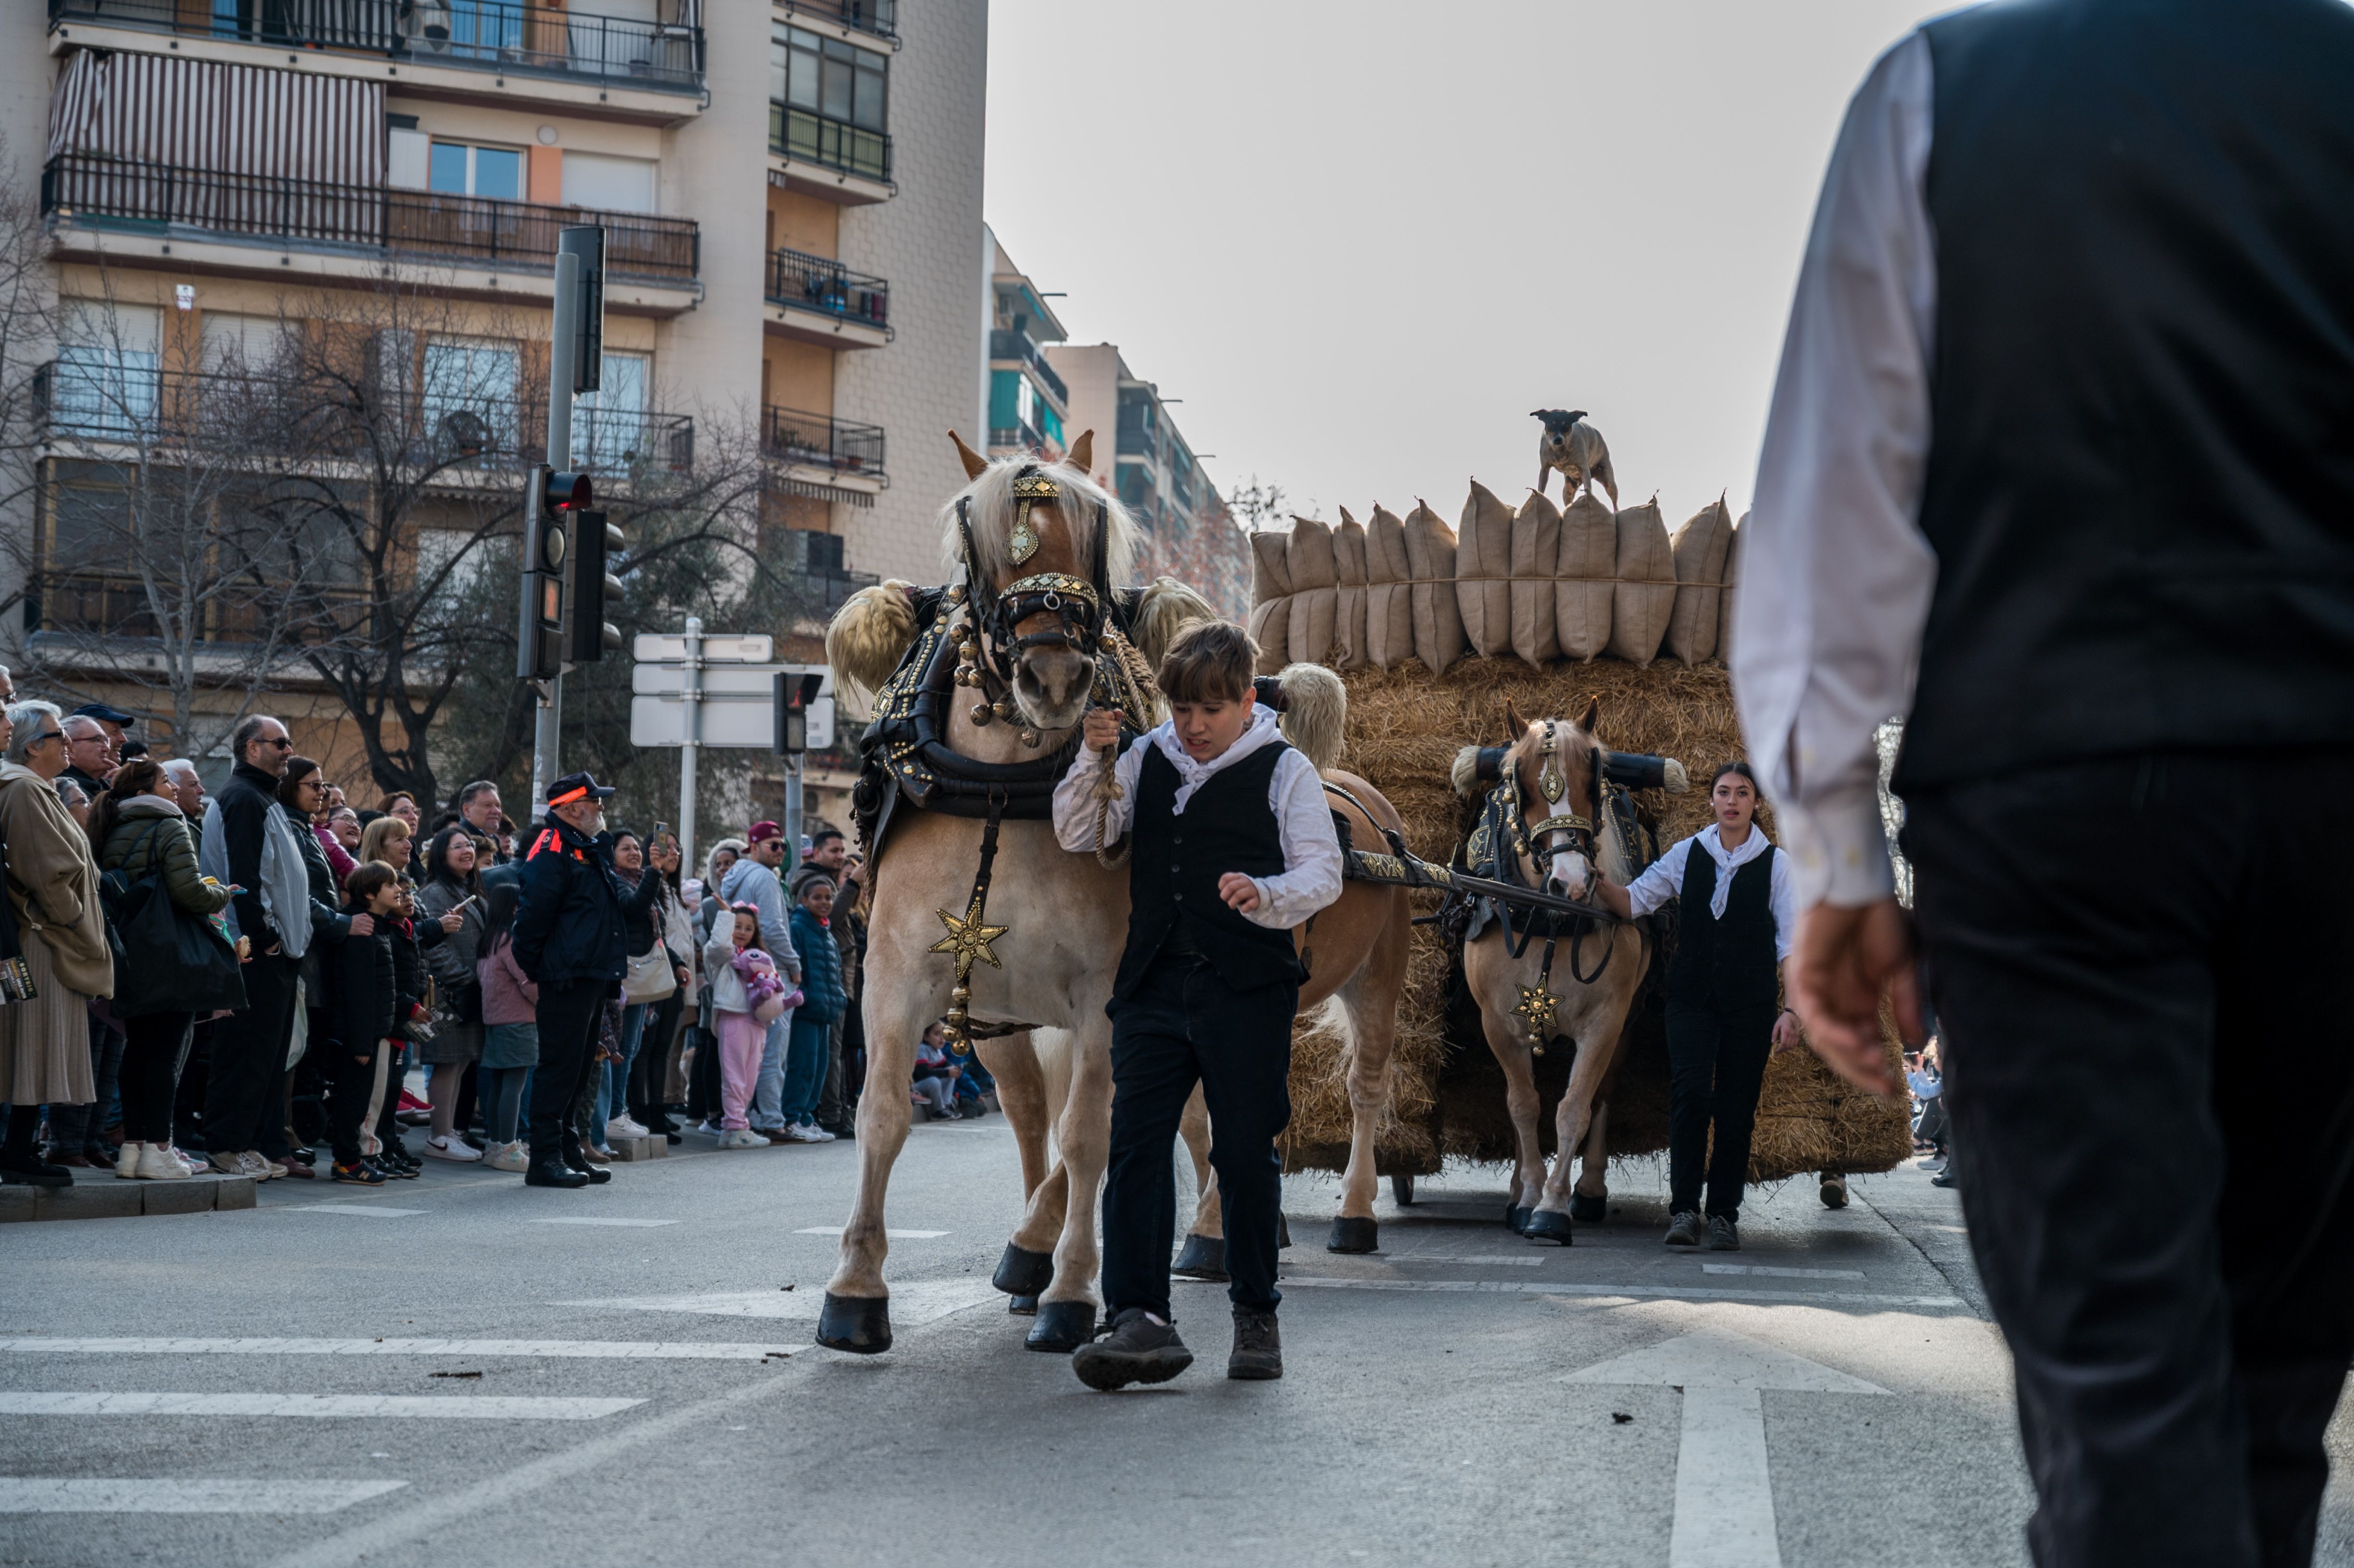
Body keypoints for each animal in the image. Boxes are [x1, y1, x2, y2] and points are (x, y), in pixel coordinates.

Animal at [1459, 701, 1647, 1243]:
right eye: (1519, 780)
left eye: (1592, 777)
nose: (1573, 883)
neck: (1551, 917)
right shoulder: (1499, 1024)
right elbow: (1524, 1105)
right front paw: (1527, 1195)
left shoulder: (1606, 1022)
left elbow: (1575, 1108)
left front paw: (1554, 1204)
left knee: (1602, 1096)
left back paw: (1590, 1190)